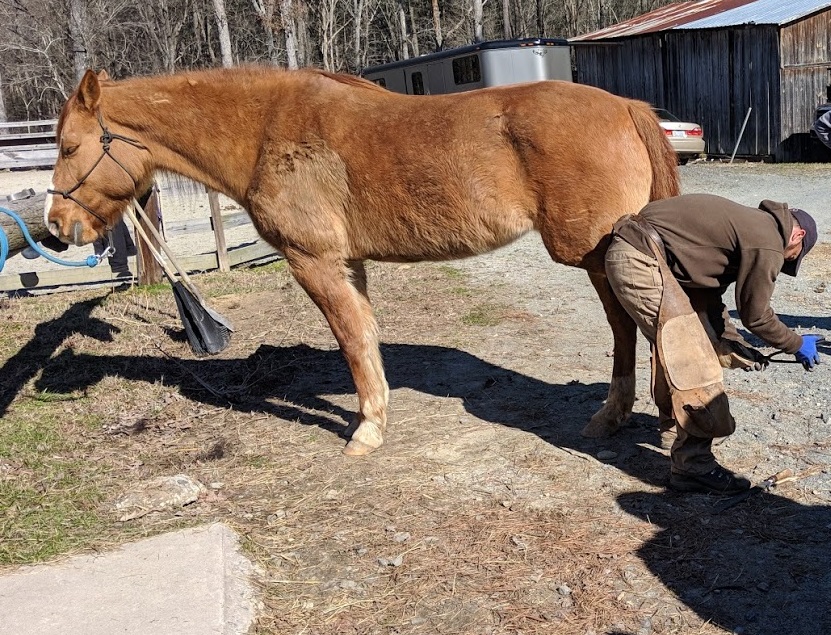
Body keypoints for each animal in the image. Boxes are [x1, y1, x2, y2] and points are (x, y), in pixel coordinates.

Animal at [44, 68, 676, 458]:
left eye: (69, 147)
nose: (56, 226)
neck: (265, 130)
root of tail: (625, 107)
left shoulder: (316, 263)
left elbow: (350, 339)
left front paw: (367, 429)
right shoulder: (351, 265)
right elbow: (366, 334)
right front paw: (378, 412)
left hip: (592, 252)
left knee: (633, 324)